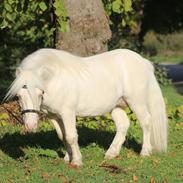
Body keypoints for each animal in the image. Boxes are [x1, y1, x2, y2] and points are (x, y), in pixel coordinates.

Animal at [6, 48, 167, 166]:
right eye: (19, 96)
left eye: (40, 94)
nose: (30, 126)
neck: (54, 80)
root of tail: (143, 61)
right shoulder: (54, 116)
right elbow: (63, 136)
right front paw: (68, 157)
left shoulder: (68, 113)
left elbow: (71, 136)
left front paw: (77, 161)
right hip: (116, 106)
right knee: (123, 125)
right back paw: (111, 153)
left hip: (137, 102)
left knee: (146, 122)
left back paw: (145, 152)